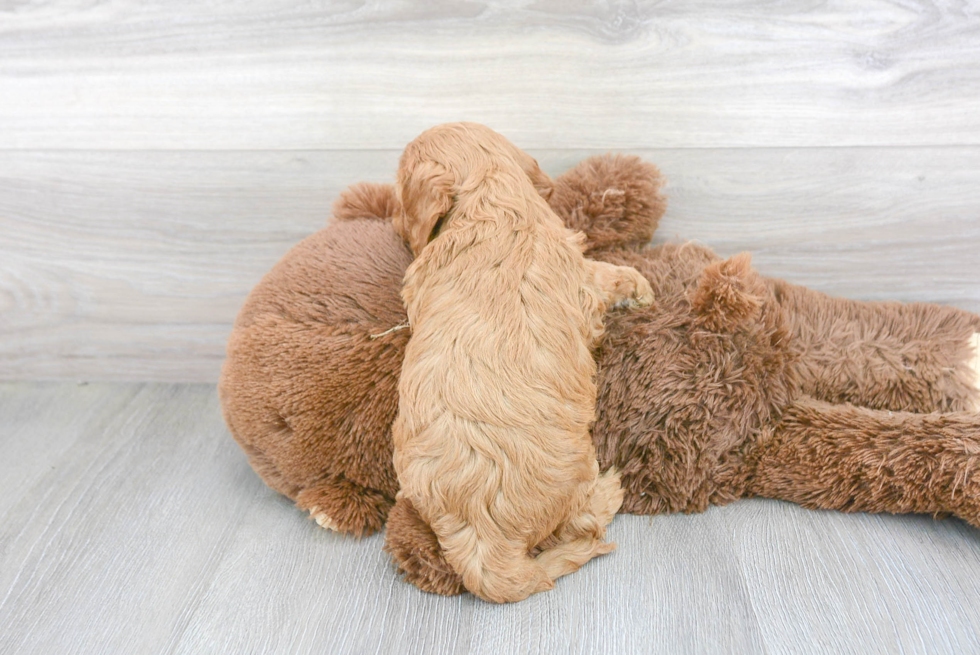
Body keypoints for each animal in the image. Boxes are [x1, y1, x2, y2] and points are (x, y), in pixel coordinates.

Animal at [388, 123, 652, 604]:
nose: (393, 221)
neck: (491, 200)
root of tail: (483, 545)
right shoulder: (583, 280)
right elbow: (608, 276)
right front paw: (640, 286)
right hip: (577, 474)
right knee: (583, 523)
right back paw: (610, 490)